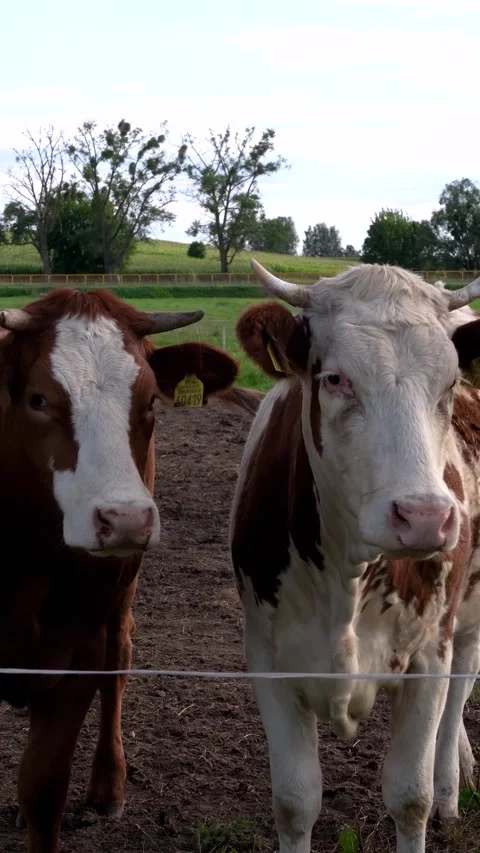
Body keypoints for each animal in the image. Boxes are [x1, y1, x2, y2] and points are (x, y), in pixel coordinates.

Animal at [0, 288, 240, 853]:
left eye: (151, 400)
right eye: (38, 399)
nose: (125, 519)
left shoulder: (77, 654)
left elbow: (44, 788)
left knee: (120, 659)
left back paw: (108, 787)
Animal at [230, 261, 480, 853]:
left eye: (450, 384)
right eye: (336, 379)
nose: (425, 517)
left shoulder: (427, 656)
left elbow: (410, 798)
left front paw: (433, 795)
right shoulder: (267, 660)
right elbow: (294, 802)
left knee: (463, 683)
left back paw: (451, 785)